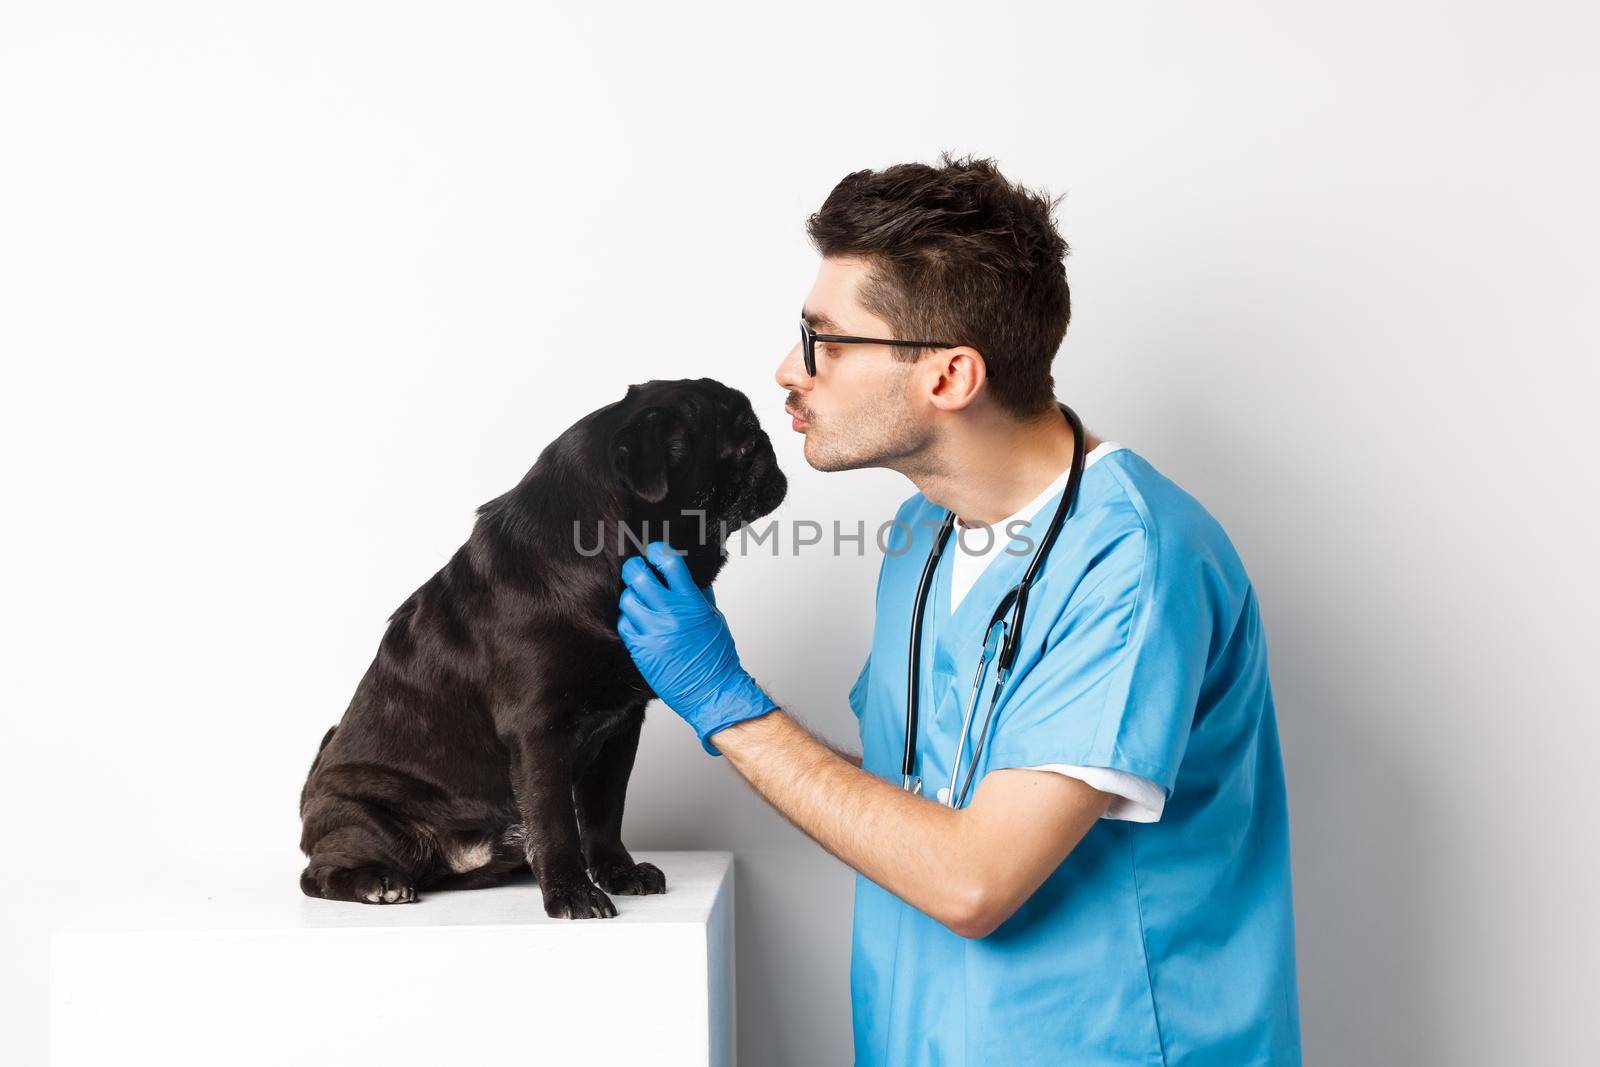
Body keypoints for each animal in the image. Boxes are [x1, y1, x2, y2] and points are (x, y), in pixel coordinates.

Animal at [299, 382, 787, 921]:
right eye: (743, 439)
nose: (769, 440)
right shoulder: (540, 731)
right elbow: (556, 824)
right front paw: (572, 891)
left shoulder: (619, 732)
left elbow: (602, 814)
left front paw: (617, 872)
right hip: (371, 821)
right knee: (318, 874)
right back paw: (378, 883)